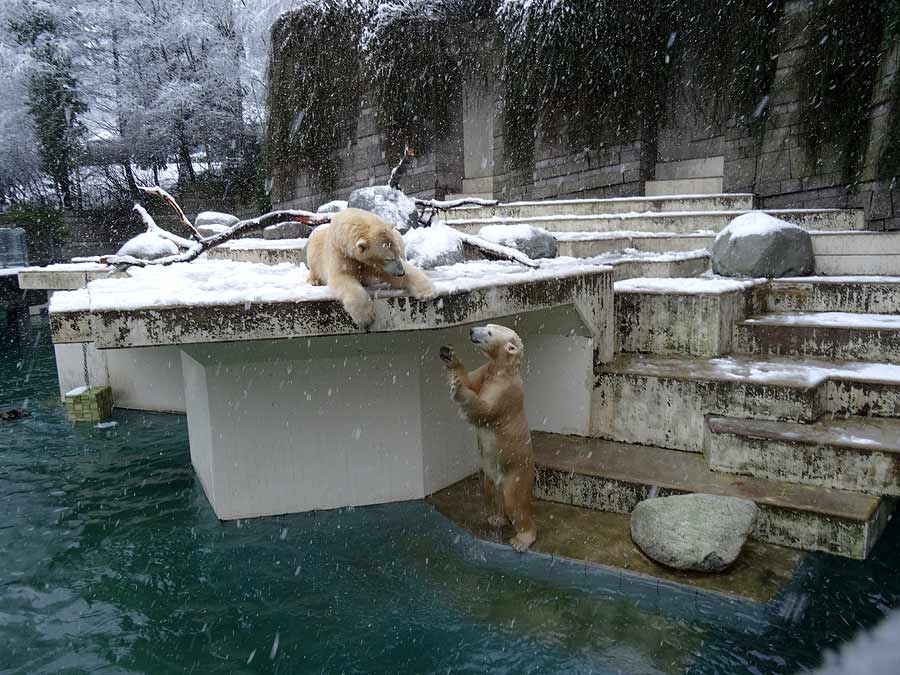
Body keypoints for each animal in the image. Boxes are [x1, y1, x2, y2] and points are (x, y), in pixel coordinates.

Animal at [306, 209, 436, 330]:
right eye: (388, 258)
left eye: (397, 252)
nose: (401, 272)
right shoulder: (340, 253)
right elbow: (342, 277)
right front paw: (366, 318)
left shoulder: (375, 265)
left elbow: (397, 273)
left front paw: (428, 292)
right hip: (315, 246)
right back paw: (314, 281)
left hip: (398, 235)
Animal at [442, 324, 536, 552]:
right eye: (486, 326)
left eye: (490, 332)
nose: (471, 330)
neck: (503, 370)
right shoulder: (486, 371)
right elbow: (471, 379)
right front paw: (451, 357)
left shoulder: (505, 392)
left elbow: (484, 410)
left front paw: (458, 389)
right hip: (491, 475)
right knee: (491, 492)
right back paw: (496, 518)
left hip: (517, 472)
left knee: (515, 502)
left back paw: (522, 539)